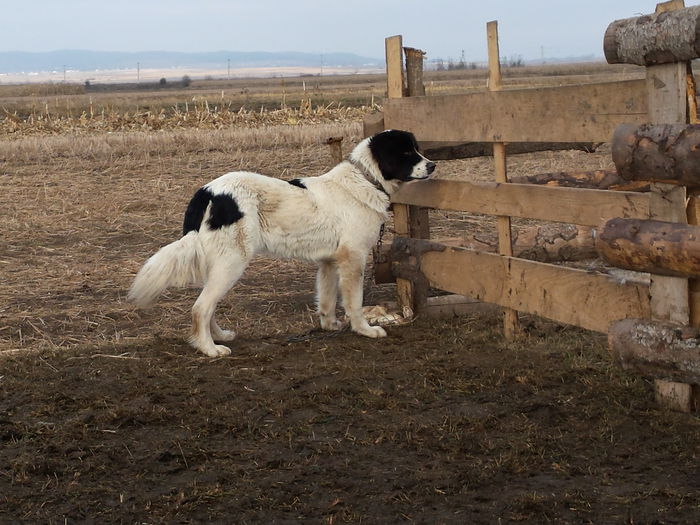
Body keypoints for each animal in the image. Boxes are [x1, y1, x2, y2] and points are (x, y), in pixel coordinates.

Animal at [126, 129, 432, 356]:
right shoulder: (353, 259)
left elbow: (327, 298)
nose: (432, 165)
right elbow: (354, 301)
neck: (366, 180)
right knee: (200, 307)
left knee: (207, 304)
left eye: (416, 149)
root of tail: (207, 192)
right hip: (232, 263)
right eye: (406, 153)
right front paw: (365, 330)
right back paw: (209, 349)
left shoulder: (329, 262)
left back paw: (219, 336)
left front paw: (330, 325)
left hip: (218, 265)